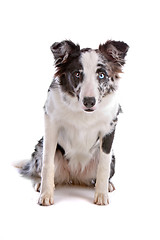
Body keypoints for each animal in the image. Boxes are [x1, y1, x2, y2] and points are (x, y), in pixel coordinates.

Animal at [16, 39, 128, 206]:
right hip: (40, 148)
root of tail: (75, 177)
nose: (89, 101)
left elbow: (104, 166)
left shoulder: (109, 129)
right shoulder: (51, 124)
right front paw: (46, 194)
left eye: (102, 75)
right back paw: (39, 183)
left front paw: (101, 194)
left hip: (112, 157)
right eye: (77, 74)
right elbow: (47, 164)